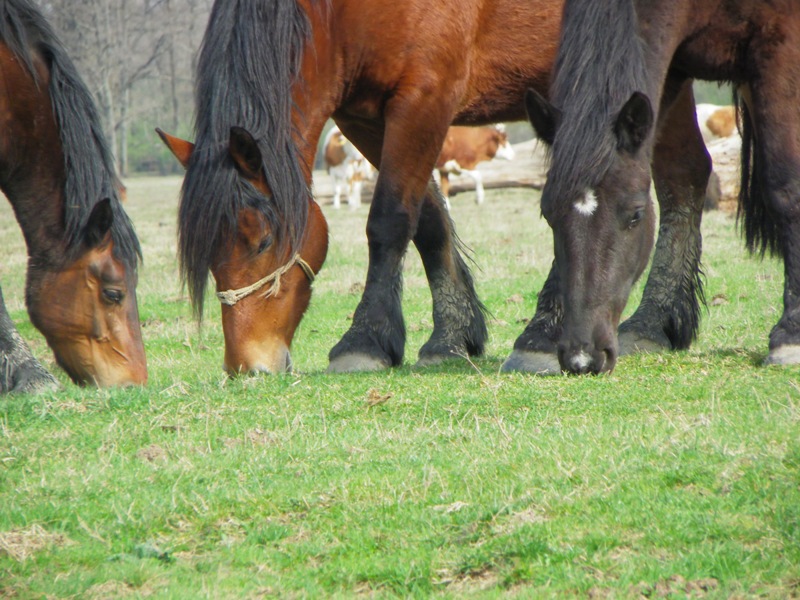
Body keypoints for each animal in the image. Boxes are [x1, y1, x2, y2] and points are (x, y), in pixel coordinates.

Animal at [155, 0, 556, 376]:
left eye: (264, 241)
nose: (246, 366)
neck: (340, 14)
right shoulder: (363, 119)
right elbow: (429, 221)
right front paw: (450, 337)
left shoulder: (424, 100)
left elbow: (389, 220)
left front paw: (365, 340)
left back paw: (543, 338)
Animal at [506, 0, 800, 376]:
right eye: (548, 215)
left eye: (635, 215)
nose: (582, 357)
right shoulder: (669, 68)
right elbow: (680, 175)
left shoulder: (779, 47)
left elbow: (785, 182)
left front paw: (790, 335)